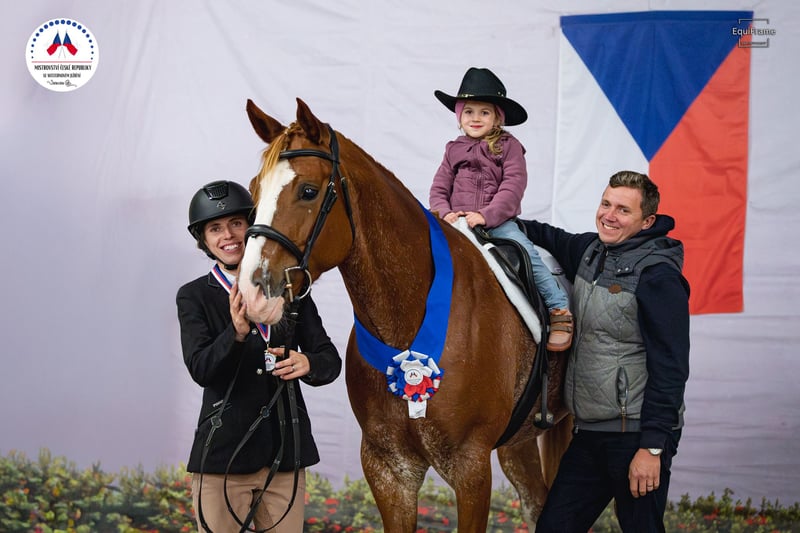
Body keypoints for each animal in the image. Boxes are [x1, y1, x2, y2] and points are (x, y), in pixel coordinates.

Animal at [237, 97, 571, 532]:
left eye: (308, 191)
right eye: (254, 190)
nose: (251, 293)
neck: (409, 326)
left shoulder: (471, 469)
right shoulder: (388, 470)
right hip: (519, 442)